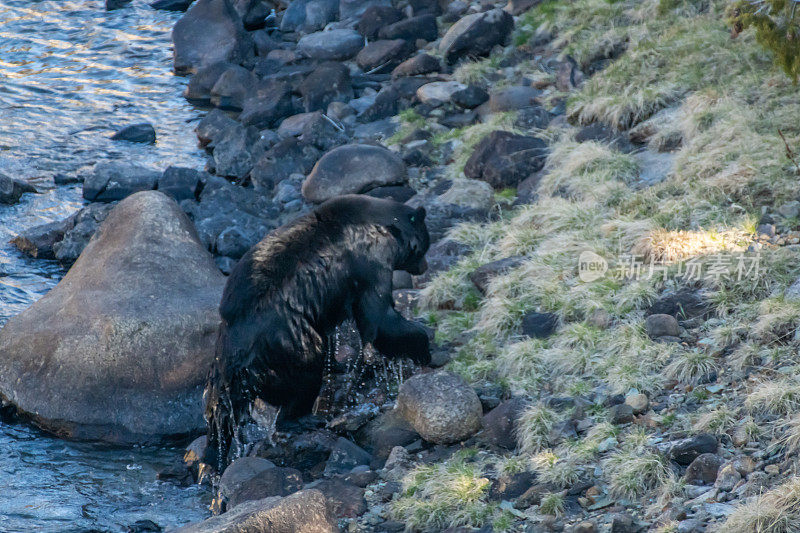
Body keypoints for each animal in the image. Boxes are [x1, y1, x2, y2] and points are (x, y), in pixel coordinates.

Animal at [205, 193, 432, 468]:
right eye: (424, 245)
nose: (425, 267)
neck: (383, 226)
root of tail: (236, 359)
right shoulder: (369, 263)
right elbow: (378, 318)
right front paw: (422, 346)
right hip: (287, 344)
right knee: (305, 375)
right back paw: (303, 419)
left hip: (222, 372)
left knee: (219, 419)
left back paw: (210, 457)